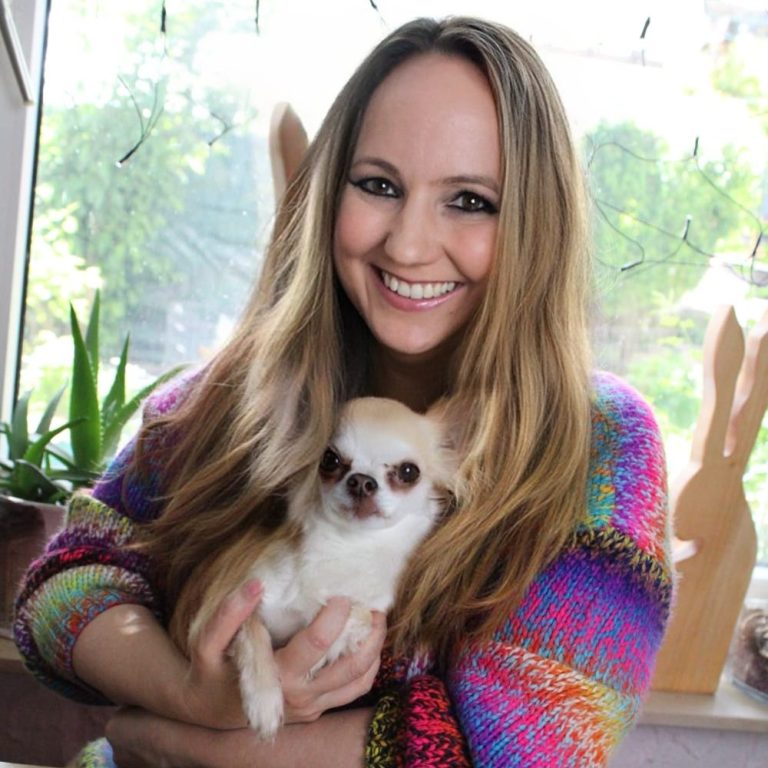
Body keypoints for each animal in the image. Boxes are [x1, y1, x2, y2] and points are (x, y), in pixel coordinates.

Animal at [187, 396, 454, 739]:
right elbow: (254, 635)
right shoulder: (233, 601)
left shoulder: (370, 609)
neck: (346, 545)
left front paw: (327, 651)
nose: (362, 481)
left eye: (409, 472)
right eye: (329, 459)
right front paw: (264, 702)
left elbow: (357, 616)